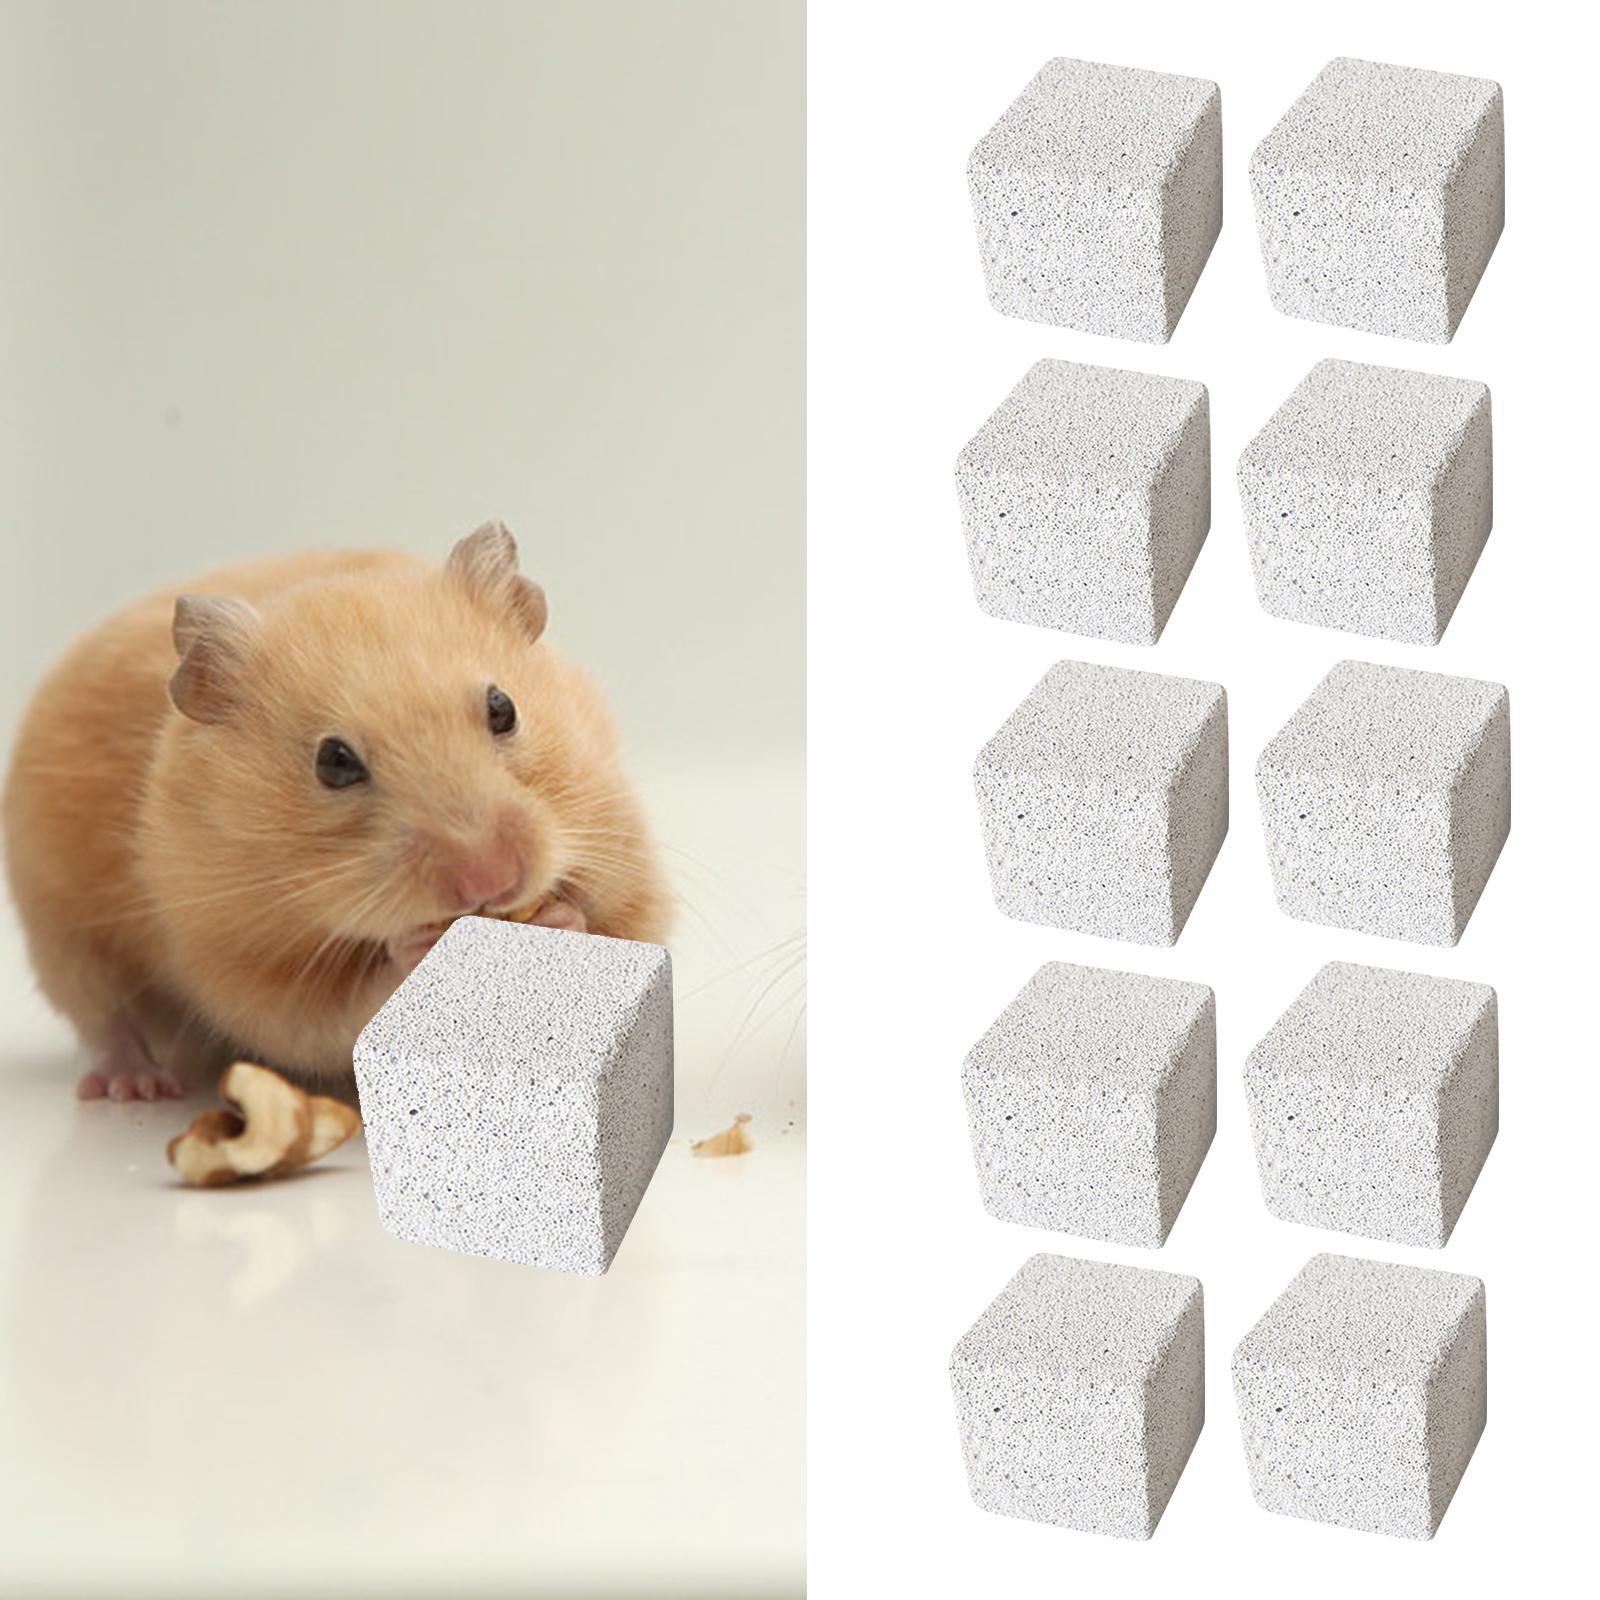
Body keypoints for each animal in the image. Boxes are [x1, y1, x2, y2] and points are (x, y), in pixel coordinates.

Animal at [2, 521, 670, 1100]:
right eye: (334, 762)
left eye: (503, 708)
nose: (491, 880)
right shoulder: (240, 960)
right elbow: (329, 1010)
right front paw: (414, 950)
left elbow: (620, 927)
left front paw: (559, 918)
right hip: (61, 934)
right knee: (105, 1019)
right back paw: (136, 1086)